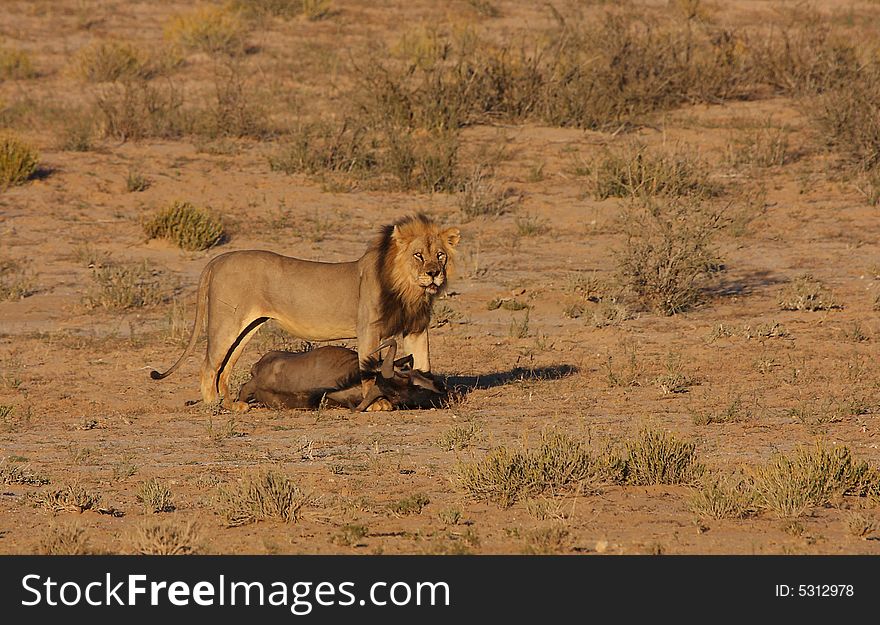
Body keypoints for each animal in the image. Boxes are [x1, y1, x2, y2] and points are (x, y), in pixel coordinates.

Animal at [150, 212, 460, 412]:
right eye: (418, 255)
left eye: (440, 255)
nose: (434, 273)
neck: (409, 290)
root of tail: (218, 258)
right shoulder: (368, 329)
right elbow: (369, 370)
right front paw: (380, 403)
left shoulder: (416, 329)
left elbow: (424, 362)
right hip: (225, 324)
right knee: (208, 365)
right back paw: (214, 405)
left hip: (246, 328)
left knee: (224, 368)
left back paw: (234, 405)